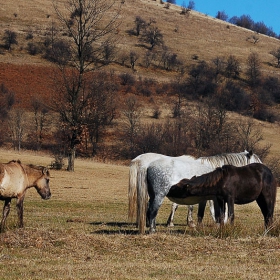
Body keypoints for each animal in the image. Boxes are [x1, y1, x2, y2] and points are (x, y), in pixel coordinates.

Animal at [128, 151, 262, 234]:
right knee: (152, 211)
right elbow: (216, 213)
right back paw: (152, 230)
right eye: (257, 163)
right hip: (159, 196)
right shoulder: (215, 199)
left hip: (152, 195)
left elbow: (202, 213)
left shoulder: (206, 198)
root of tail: (147, 165)